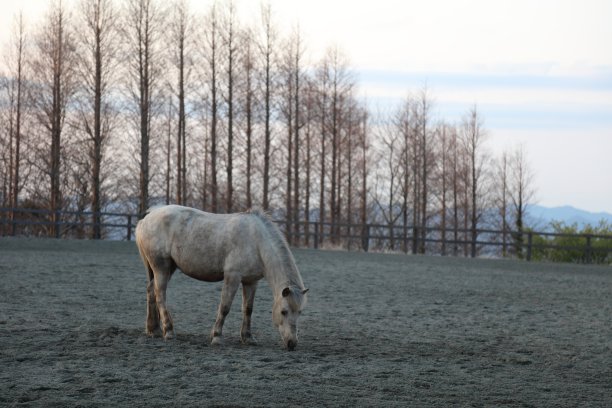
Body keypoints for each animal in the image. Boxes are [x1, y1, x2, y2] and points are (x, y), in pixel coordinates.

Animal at [134, 204, 306, 350]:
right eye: (284, 311)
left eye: (299, 312)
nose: (292, 343)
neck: (256, 241)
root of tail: (147, 217)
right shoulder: (232, 277)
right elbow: (224, 307)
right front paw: (216, 337)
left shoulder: (251, 281)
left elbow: (248, 309)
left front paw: (247, 337)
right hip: (161, 268)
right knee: (160, 295)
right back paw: (168, 331)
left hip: (168, 268)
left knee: (151, 291)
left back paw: (154, 330)